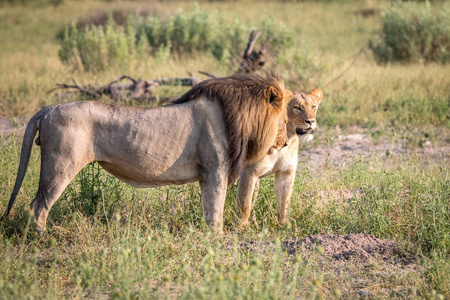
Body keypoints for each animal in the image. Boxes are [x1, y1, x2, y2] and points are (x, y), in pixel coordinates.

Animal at [4, 74, 292, 233]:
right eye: (287, 117)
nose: (285, 142)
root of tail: (48, 109)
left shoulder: (208, 175)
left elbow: (208, 208)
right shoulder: (215, 170)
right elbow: (215, 210)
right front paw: (217, 238)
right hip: (60, 165)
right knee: (37, 207)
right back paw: (45, 237)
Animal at [236, 88, 324, 226]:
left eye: (313, 107)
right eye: (297, 107)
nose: (311, 121)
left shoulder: (285, 172)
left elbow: (284, 202)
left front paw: (283, 225)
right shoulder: (249, 172)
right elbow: (244, 203)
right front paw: (242, 228)